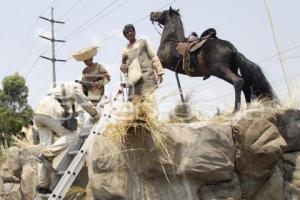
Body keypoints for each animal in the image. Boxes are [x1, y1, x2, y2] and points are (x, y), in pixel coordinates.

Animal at [150, 7, 278, 110]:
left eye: (163, 12)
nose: (151, 14)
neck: (169, 41)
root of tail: (233, 49)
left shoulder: (162, 62)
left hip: (219, 69)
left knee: (238, 82)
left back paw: (235, 110)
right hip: (226, 71)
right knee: (245, 85)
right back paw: (248, 108)